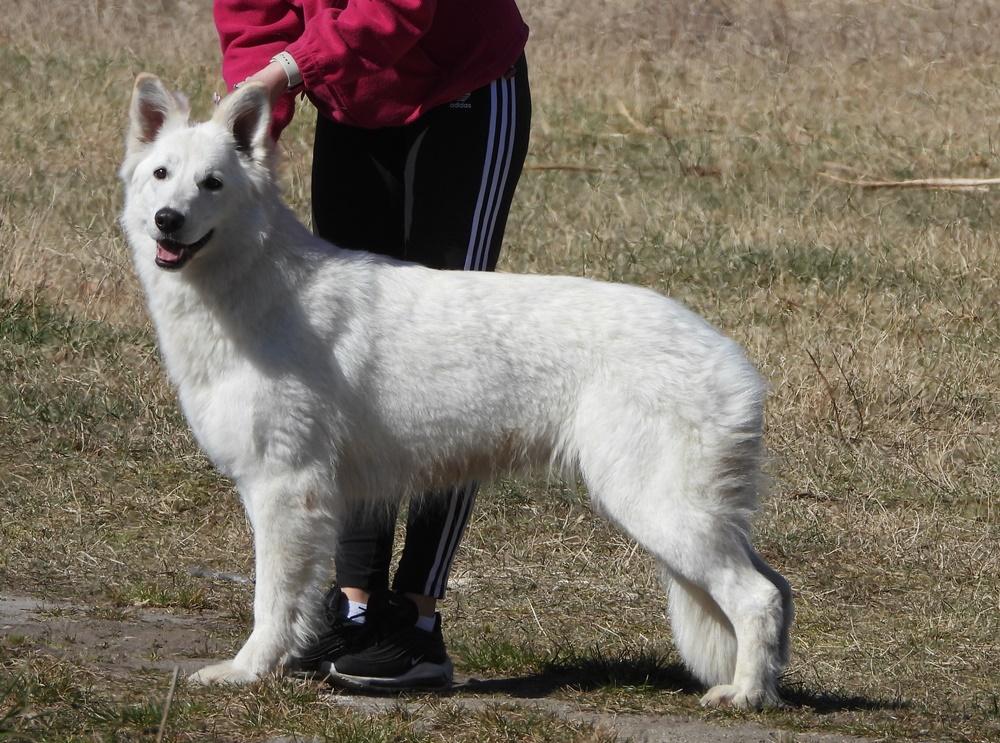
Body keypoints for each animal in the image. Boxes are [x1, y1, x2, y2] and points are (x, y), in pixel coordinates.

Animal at [119, 74, 788, 708]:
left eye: (212, 183)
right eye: (161, 174)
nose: (167, 220)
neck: (253, 285)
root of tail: (730, 358)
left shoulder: (286, 489)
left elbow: (272, 599)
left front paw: (249, 671)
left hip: (657, 506)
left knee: (758, 597)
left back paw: (746, 695)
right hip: (688, 515)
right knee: (778, 586)